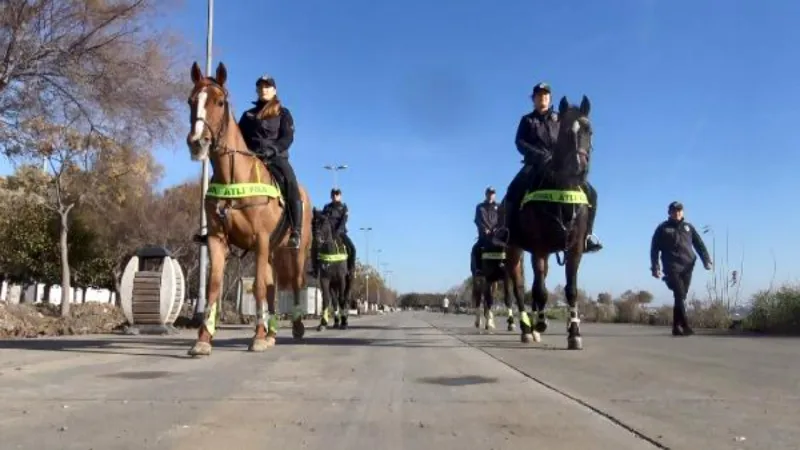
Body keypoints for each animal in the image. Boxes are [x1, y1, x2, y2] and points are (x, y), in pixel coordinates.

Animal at [184, 61, 312, 356]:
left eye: (219, 101)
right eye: (191, 101)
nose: (197, 142)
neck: (234, 177)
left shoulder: (261, 240)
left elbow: (259, 289)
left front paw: (258, 337)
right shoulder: (218, 240)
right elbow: (214, 287)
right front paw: (203, 339)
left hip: (296, 251)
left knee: (295, 283)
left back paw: (295, 327)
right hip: (274, 252)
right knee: (274, 286)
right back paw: (273, 332)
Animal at [506, 94, 592, 348]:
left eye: (589, 130)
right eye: (565, 131)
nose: (579, 168)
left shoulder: (575, 249)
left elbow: (571, 290)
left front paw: (574, 333)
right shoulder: (539, 248)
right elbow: (539, 290)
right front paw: (541, 323)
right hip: (514, 249)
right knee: (519, 287)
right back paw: (527, 328)